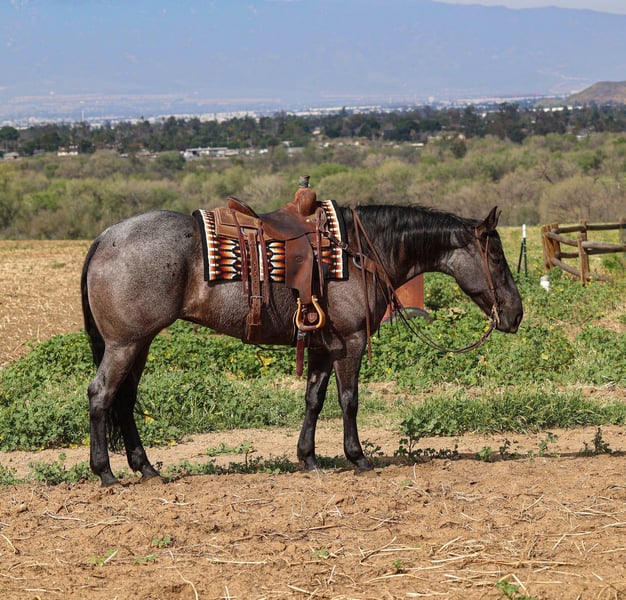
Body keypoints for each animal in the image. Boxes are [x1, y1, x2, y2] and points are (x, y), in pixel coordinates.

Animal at [81, 203, 523, 487]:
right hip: (125, 344)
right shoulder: (351, 341)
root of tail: (105, 237)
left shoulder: (323, 345)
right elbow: (348, 399)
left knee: (124, 399)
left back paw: (146, 469)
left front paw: (308, 458)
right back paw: (106, 473)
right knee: (102, 394)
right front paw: (357, 457)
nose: (515, 314)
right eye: (496, 257)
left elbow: (314, 398)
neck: (358, 252)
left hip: (139, 344)